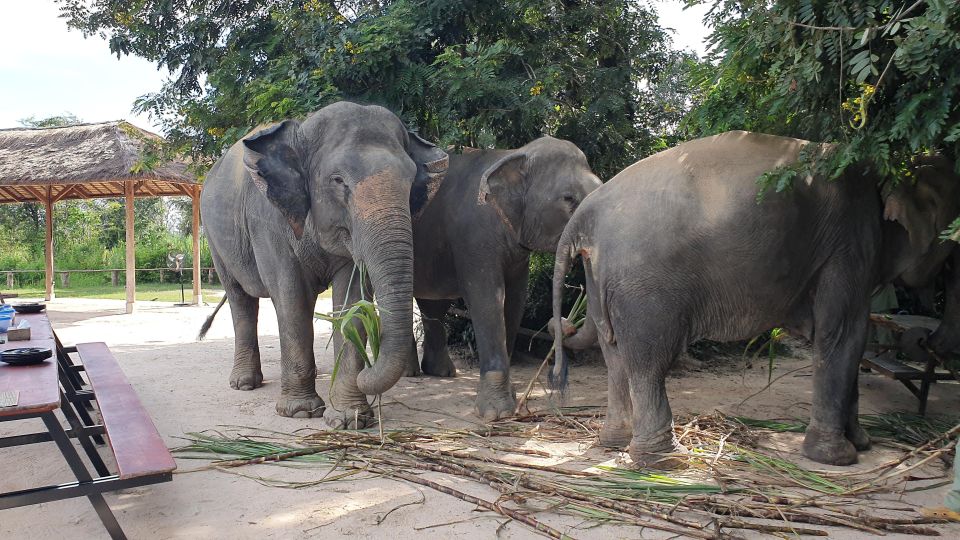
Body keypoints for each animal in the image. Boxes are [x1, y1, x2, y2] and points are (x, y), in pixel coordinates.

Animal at [202, 101, 446, 426]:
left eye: (410, 183)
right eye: (338, 181)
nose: (370, 370)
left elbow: (351, 302)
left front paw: (350, 418)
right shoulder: (268, 222)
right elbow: (291, 298)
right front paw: (300, 412)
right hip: (214, 239)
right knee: (239, 298)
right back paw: (244, 383)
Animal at [408, 136, 604, 422]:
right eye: (568, 198)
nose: (565, 324)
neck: (516, 154)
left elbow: (515, 301)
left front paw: (509, 400)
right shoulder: (475, 237)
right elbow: (487, 298)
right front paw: (495, 413)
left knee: (432, 302)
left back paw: (440, 372)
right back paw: (409, 372)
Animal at [548, 129, 960, 466]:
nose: (925, 339)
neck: (885, 165)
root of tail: (585, 212)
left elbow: (847, 342)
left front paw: (862, 445)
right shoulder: (850, 241)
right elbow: (845, 335)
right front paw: (839, 458)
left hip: (603, 277)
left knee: (615, 354)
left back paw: (615, 445)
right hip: (644, 286)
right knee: (649, 361)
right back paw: (666, 461)